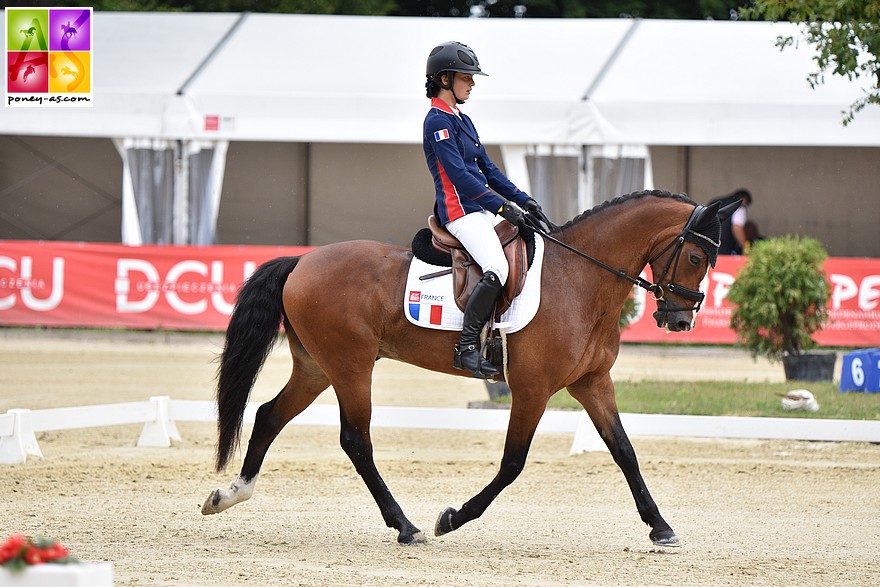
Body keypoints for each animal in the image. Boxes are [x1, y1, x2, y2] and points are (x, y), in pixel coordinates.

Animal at [203, 191, 732, 548]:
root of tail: (302, 260)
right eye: (695, 255)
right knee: (355, 440)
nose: (680, 320)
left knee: (270, 415)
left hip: (317, 367)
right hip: (351, 367)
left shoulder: (592, 382)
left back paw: (229, 495)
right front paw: (452, 517)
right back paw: (407, 527)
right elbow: (513, 463)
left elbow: (625, 451)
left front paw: (661, 528)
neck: (580, 279)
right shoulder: (532, 388)